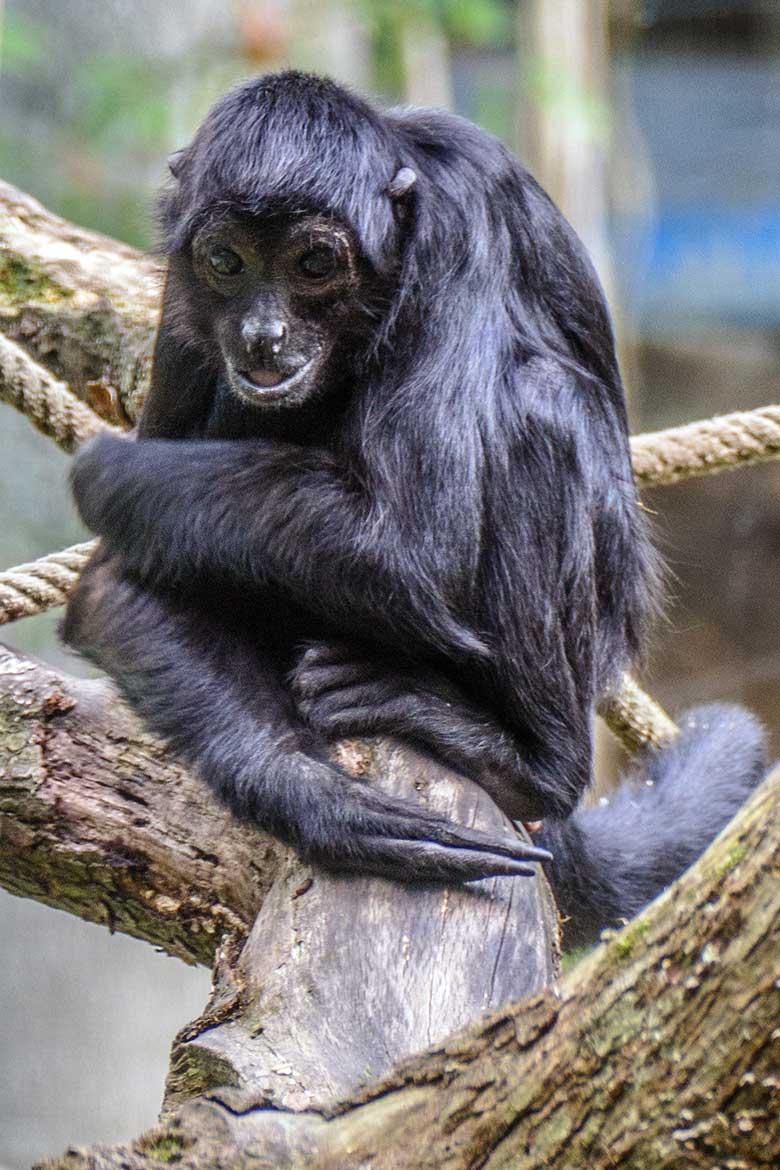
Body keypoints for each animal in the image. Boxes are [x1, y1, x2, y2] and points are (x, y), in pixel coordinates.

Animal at [62, 73, 767, 945]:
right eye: (225, 261)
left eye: (315, 263)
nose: (264, 333)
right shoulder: (185, 304)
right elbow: (110, 592)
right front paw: (324, 805)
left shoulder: (455, 232)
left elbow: (415, 546)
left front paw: (111, 472)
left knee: (540, 400)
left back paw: (532, 764)